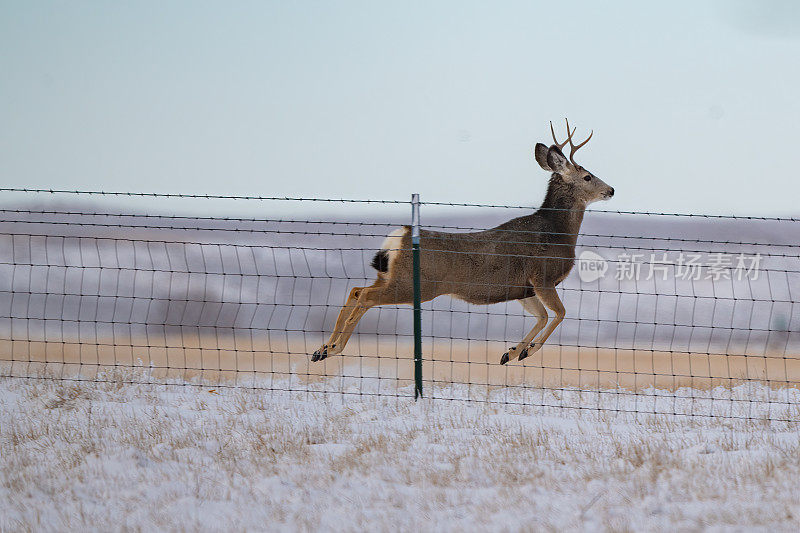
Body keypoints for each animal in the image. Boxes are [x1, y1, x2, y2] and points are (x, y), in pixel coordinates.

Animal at [312, 118, 612, 364]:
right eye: (588, 176)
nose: (611, 189)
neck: (558, 232)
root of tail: (399, 238)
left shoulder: (524, 289)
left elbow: (542, 316)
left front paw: (512, 352)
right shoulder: (543, 277)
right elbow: (559, 313)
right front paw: (528, 350)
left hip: (390, 277)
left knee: (356, 290)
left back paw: (322, 349)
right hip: (413, 285)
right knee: (365, 296)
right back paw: (333, 348)